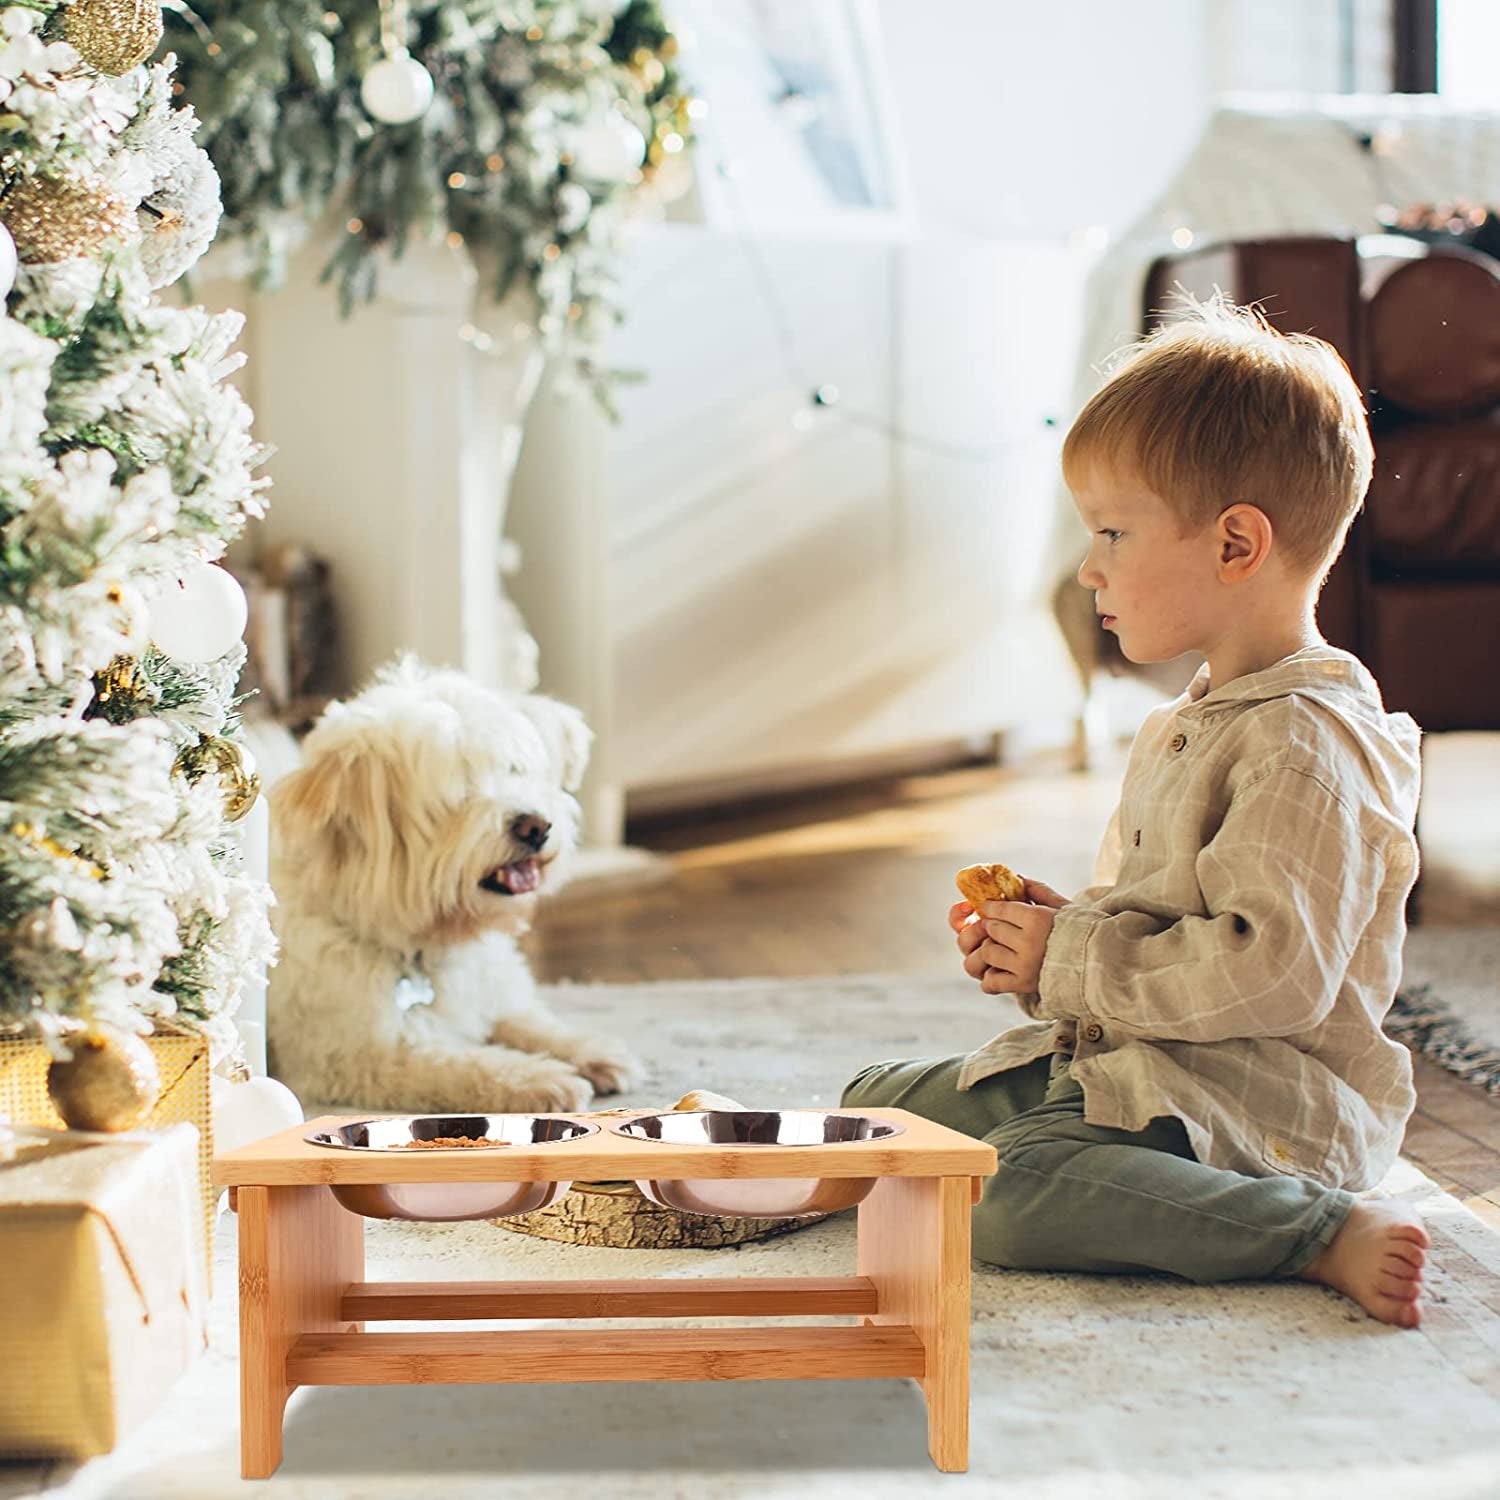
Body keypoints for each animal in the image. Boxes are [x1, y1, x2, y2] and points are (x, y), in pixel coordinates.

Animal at [267, 660, 642, 1116]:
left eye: (514, 769)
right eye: (459, 793)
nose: (535, 827)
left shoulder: (493, 993)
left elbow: (528, 1019)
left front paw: (589, 1049)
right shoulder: (358, 1058)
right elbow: (464, 1064)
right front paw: (541, 1079)